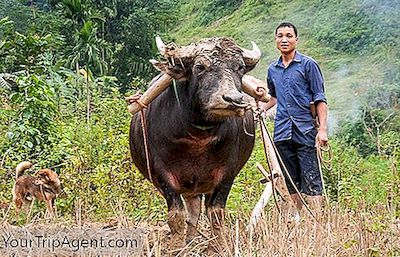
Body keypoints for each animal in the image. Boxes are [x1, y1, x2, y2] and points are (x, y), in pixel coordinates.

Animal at [129, 37, 262, 251]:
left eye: (240, 67)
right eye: (200, 67)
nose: (233, 99)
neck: (198, 138)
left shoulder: (228, 173)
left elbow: (216, 213)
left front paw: (219, 247)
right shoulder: (162, 174)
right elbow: (176, 215)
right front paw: (175, 247)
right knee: (192, 212)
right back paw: (189, 241)